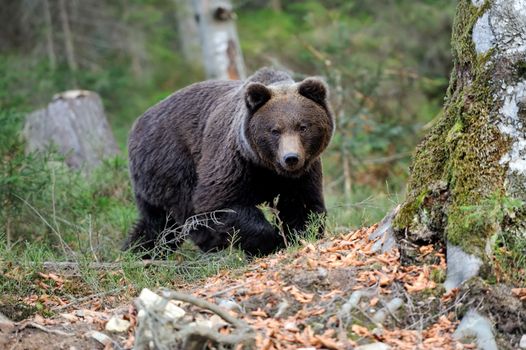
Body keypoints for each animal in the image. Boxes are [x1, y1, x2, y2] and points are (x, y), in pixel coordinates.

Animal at [125, 67, 334, 256]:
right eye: (275, 130)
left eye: (303, 127)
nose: (291, 158)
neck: (266, 166)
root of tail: (136, 126)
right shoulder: (235, 161)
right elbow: (219, 204)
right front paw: (270, 242)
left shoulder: (301, 173)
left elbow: (302, 205)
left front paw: (298, 236)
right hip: (171, 162)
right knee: (184, 209)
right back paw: (209, 242)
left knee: (157, 224)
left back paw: (138, 251)